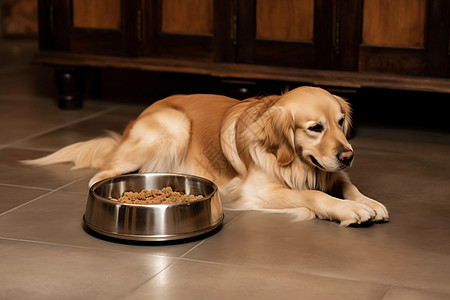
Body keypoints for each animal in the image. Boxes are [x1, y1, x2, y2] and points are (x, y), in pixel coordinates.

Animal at [23, 86, 390, 225]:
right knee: (100, 175)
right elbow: (314, 195)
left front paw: (369, 202)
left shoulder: (334, 171)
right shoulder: (257, 190)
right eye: (315, 128)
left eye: (341, 122)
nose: (348, 155)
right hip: (174, 125)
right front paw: (348, 210)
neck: (293, 162)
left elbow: (348, 185)